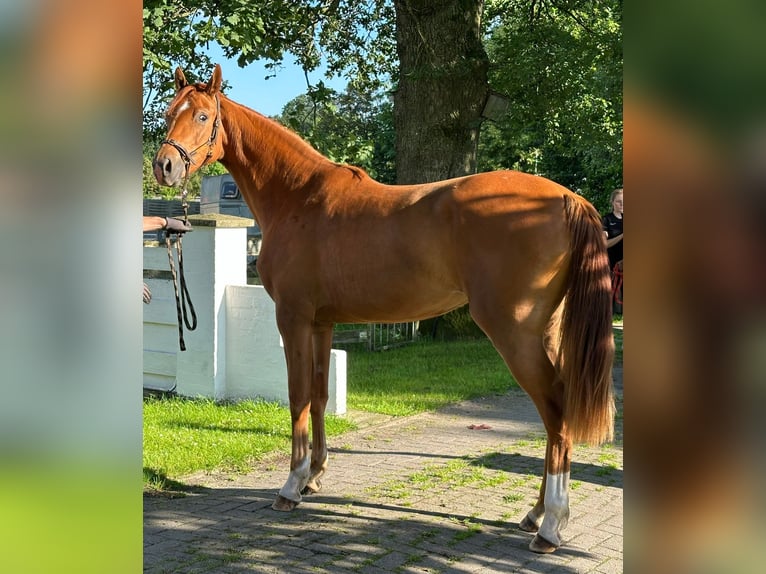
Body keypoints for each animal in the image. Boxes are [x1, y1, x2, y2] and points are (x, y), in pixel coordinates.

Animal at [153, 65, 616, 556]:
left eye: (203, 116)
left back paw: (551, 526)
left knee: (556, 411)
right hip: (545, 331)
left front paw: (292, 486)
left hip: (514, 332)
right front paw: (315, 476)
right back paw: (535, 515)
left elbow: (298, 396)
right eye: (169, 113)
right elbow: (320, 395)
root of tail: (566, 199)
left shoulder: (293, 318)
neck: (297, 196)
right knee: (552, 418)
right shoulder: (322, 322)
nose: (164, 166)